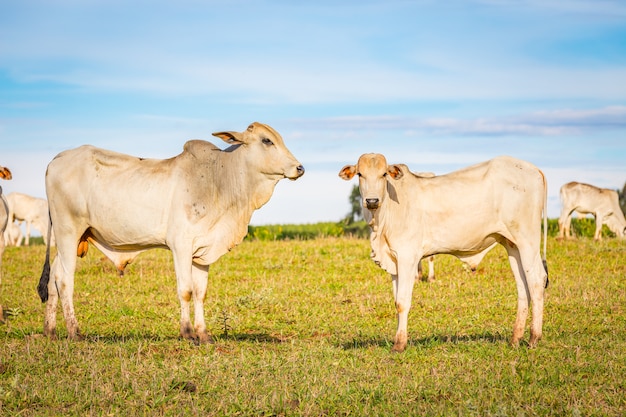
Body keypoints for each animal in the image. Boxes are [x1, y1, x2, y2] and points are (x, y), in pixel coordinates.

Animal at [37, 121, 304, 342]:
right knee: (64, 280)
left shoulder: (203, 251)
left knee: (53, 279)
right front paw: (187, 333)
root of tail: (56, 159)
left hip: (68, 239)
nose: (299, 168)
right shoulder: (181, 246)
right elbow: (185, 291)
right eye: (267, 140)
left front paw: (203, 334)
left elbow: (200, 293)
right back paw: (74, 331)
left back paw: (50, 330)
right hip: (68, 231)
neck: (219, 179)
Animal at [338, 153, 548, 352]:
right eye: (360, 174)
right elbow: (396, 301)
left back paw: (534, 338)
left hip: (528, 240)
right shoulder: (394, 263)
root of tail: (534, 169)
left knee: (537, 280)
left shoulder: (407, 258)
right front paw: (398, 339)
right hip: (512, 245)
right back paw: (515, 339)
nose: (372, 200)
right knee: (523, 287)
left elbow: (403, 302)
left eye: (383, 174)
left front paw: (399, 344)